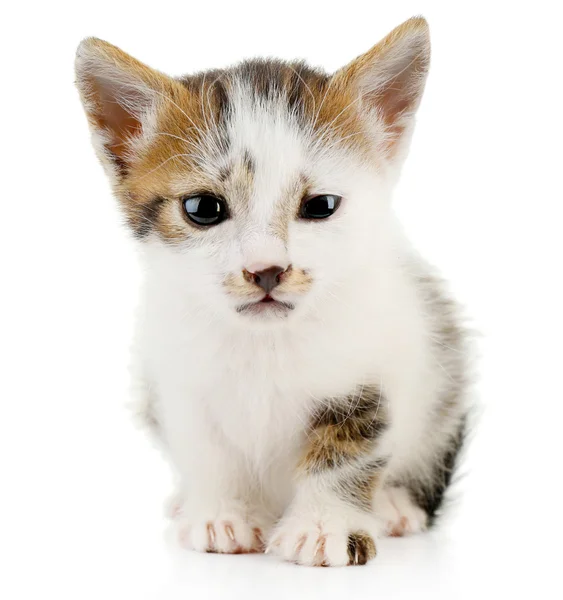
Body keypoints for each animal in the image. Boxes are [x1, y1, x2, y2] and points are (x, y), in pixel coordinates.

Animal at [76, 15, 472, 568]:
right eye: (203, 209)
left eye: (320, 205)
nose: (266, 271)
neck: (264, 343)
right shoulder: (176, 373)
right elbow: (205, 446)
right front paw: (222, 515)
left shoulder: (378, 359)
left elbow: (350, 446)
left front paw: (322, 528)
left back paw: (394, 506)